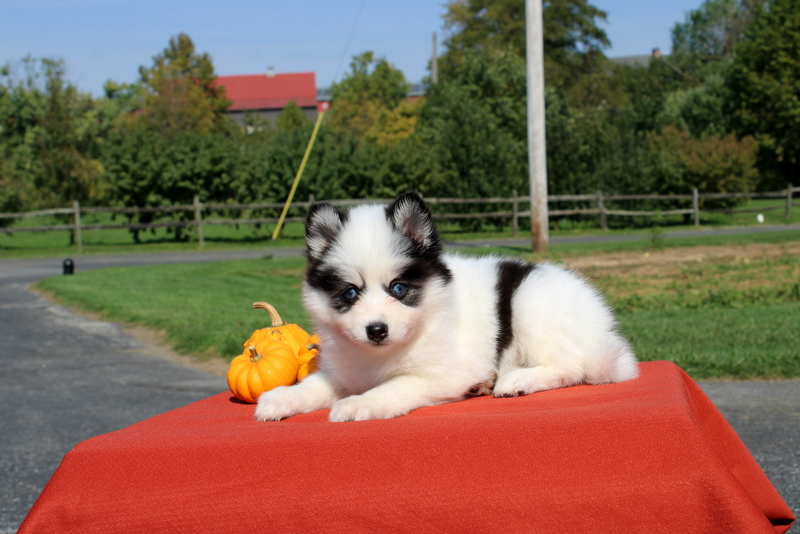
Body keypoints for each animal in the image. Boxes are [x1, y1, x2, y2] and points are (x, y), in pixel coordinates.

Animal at [256, 193, 636, 422]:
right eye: (350, 293)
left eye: (399, 288)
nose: (376, 330)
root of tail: (599, 316)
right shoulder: (344, 371)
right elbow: (315, 384)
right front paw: (281, 398)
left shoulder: (439, 374)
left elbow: (396, 386)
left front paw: (357, 404)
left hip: (532, 305)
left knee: (570, 367)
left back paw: (518, 380)